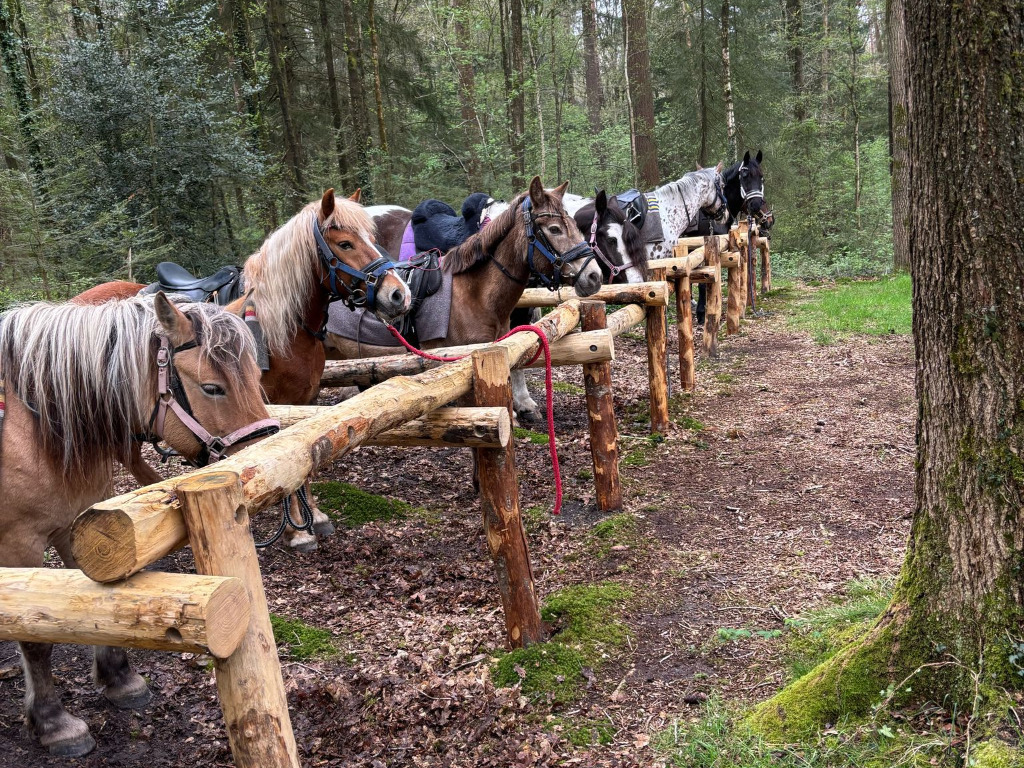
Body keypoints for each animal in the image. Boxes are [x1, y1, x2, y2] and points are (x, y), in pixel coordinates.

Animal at [0, 293, 277, 757]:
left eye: (258, 376)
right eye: (212, 387)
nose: (264, 456)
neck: (35, 425)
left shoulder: (77, 522)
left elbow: (100, 600)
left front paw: (120, 679)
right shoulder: (17, 544)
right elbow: (33, 637)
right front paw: (55, 724)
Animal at [76, 189, 412, 551]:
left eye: (373, 239)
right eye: (345, 243)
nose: (399, 294)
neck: (281, 328)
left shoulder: (306, 398)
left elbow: (306, 455)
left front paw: (315, 517)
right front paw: (295, 531)